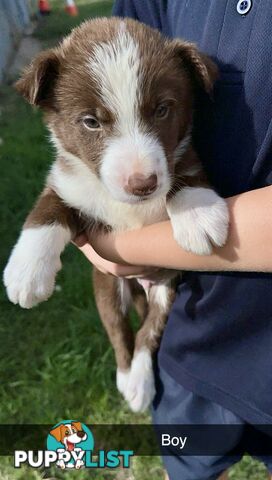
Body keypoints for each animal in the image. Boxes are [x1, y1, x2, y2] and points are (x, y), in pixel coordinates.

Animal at [3, 18, 228, 412]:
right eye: (91, 122)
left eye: (162, 109)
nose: (142, 184)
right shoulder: (67, 183)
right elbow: (47, 209)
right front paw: (26, 272)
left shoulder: (182, 157)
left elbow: (186, 172)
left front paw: (199, 214)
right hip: (107, 286)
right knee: (120, 331)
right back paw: (128, 379)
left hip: (166, 288)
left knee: (149, 331)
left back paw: (139, 382)